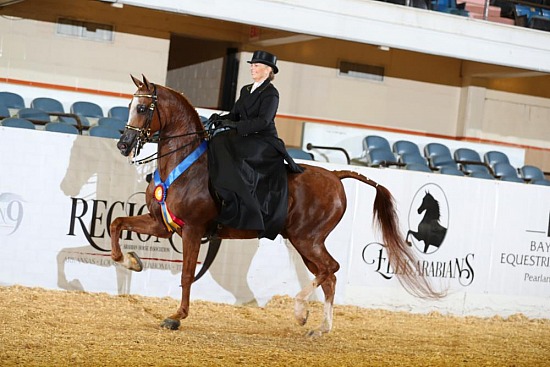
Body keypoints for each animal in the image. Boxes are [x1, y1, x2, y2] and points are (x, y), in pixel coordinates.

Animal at [112, 75, 444, 340]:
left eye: (143, 108)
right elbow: (117, 224)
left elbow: (185, 275)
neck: (186, 164)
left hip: (306, 239)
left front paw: (176, 317)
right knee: (329, 276)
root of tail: (335, 175)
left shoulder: (193, 229)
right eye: (130, 105)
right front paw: (131, 261)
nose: (123, 145)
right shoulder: (162, 223)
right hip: (305, 242)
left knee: (331, 268)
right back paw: (320, 328)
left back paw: (300, 311)